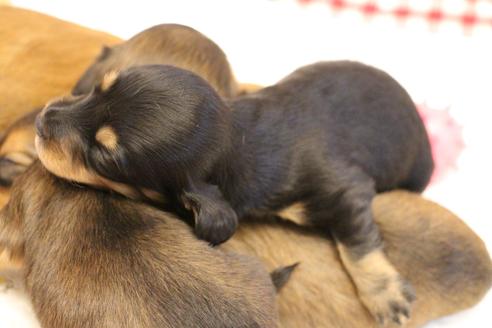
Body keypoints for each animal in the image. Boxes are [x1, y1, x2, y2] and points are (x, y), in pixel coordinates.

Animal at [35, 62, 434, 326]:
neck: (240, 139)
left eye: (103, 156)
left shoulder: (343, 189)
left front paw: (387, 296)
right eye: (97, 89)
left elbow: (358, 243)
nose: (41, 121)